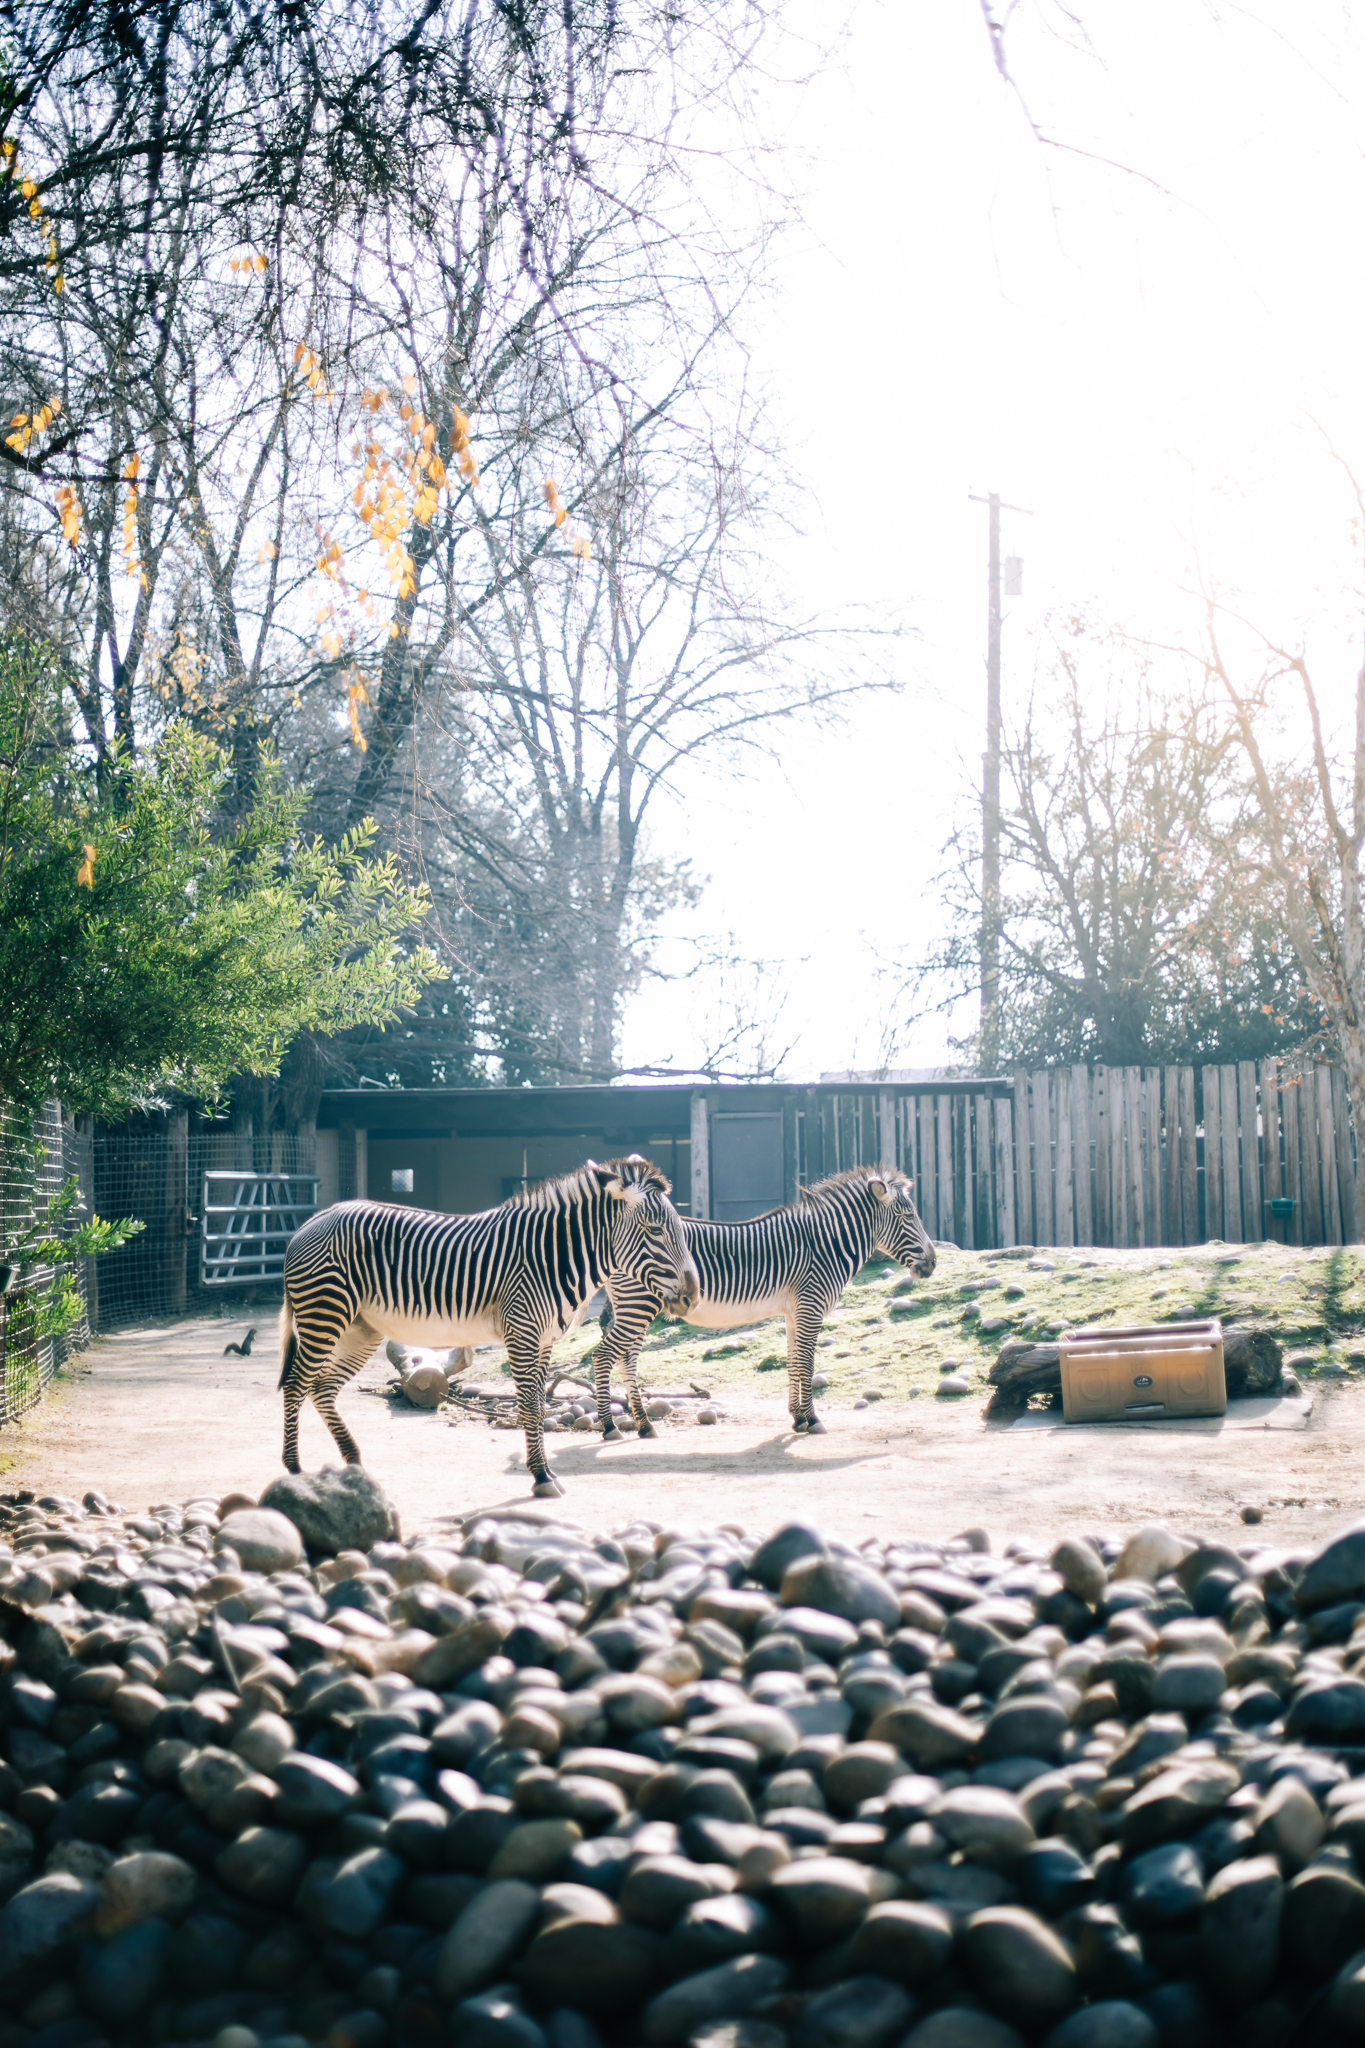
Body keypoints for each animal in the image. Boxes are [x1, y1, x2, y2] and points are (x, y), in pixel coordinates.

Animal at [282, 1155, 699, 1507]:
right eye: (655, 1230)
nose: (693, 1296)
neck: (552, 1258)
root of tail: (310, 1222)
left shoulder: (544, 1341)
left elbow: (539, 1405)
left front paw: (545, 1472)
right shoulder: (522, 1333)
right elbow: (528, 1406)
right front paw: (541, 1477)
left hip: (359, 1328)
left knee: (322, 1388)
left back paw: (353, 1463)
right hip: (324, 1313)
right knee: (296, 1384)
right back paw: (294, 1471)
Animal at [597, 1171, 941, 1441]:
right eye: (907, 1216)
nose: (933, 1263)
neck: (824, 1246)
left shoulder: (794, 1312)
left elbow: (793, 1362)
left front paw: (797, 1418)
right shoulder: (811, 1306)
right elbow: (807, 1364)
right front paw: (812, 1419)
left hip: (634, 1306)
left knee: (626, 1359)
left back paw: (644, 1425)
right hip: (638, 1304)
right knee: (605, 1355)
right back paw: (609, 1426)